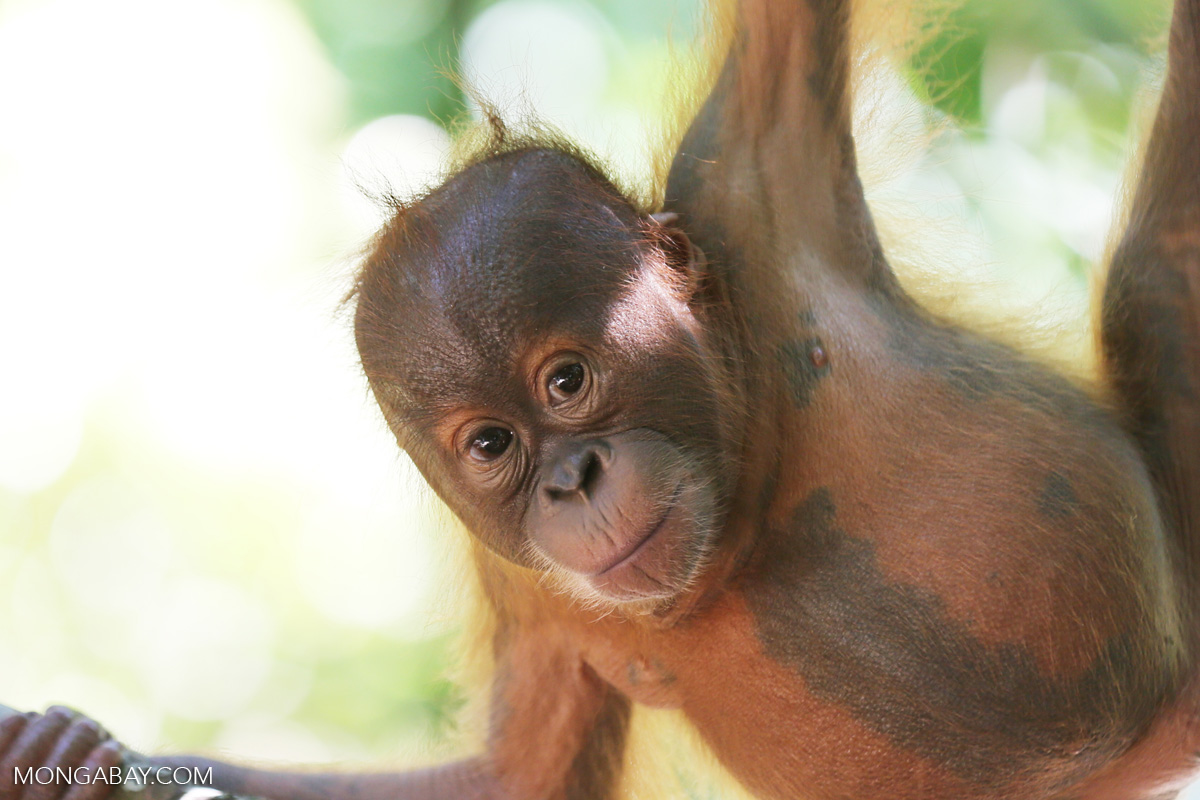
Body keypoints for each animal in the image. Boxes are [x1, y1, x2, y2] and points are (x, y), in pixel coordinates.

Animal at [4, 0, 1200, 797]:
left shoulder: (753, 171)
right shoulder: (522, 577)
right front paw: (87, 753)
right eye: (491, 444)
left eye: (567, 380)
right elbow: (512, 775)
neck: (744, 516)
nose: (571, 479)